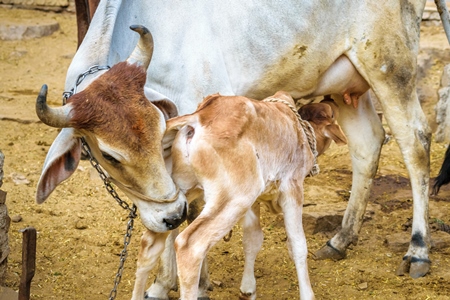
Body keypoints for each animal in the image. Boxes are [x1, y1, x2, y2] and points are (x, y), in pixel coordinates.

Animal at [35, 1, 442, 298]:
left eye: (157, 128)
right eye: (109, 155)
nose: (169, 215)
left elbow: (193, 213)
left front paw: (195, 282)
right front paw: (162, 282)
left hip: (389, 64)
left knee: (415, 143)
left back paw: (418, 249)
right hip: (346, 83)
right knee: (368, 144)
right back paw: (341, 239)